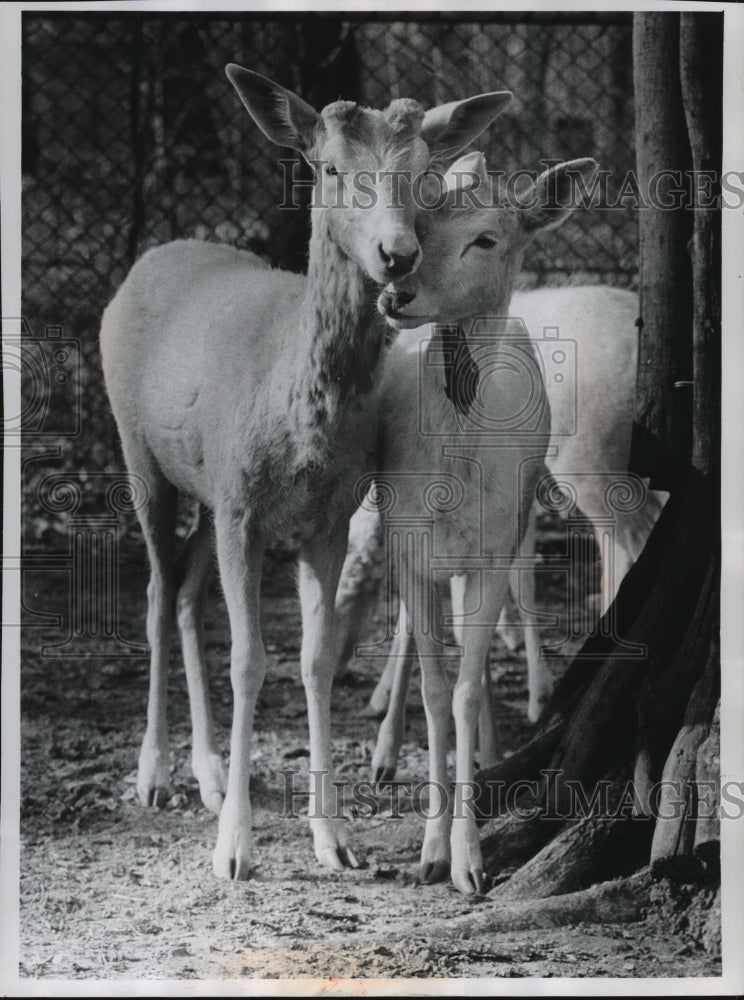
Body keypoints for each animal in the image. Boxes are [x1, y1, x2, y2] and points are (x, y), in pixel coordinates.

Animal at [100, 64, 512, 884]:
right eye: (328, 168)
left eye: (422, 176)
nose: (396, 254)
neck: (300, 419)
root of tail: (148, 261)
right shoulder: (243, 510)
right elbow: (251, 660)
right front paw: (235, 850)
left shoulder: (324, 515)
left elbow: (316, 661)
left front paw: (334, 838)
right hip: (141, 457)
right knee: (158, 593)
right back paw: (155, 774)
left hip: (206, 491)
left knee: (187, 592)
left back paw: (208, 771)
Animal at [334, 152, 660, 896]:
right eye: (419, 224)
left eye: (486, 238)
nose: (398, 292)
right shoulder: (416, 543)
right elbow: (436, 687)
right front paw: (428, 847)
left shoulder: (491, 542)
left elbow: (458, 684)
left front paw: (467, 859)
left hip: (591, 458)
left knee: (623, 540)